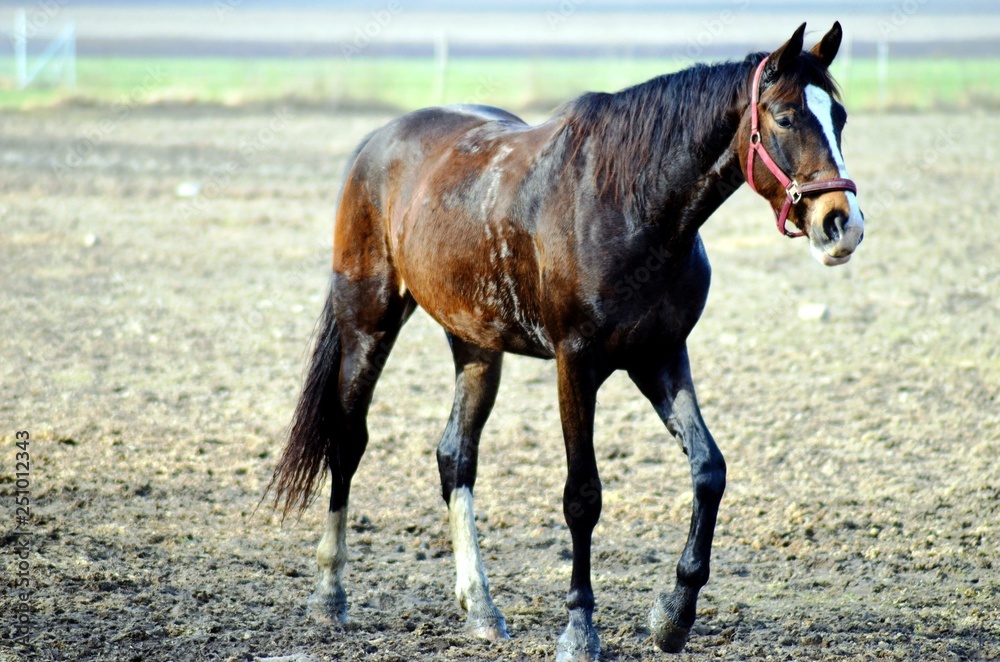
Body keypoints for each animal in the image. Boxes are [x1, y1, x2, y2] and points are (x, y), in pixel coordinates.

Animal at [267, 21, 863, 660]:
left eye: (840, 116)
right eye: (784, 117)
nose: (842, 224)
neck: (632, 204)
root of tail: (375, 143)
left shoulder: (659, 356)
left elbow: (709, 469)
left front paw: (673, 615)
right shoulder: (575, 364)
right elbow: (583, 495)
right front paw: (579, 629)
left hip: (475, 344)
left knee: (456, 457)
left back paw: (481, 607)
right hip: (368, 322)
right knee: (348, 441)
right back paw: (330, 595)